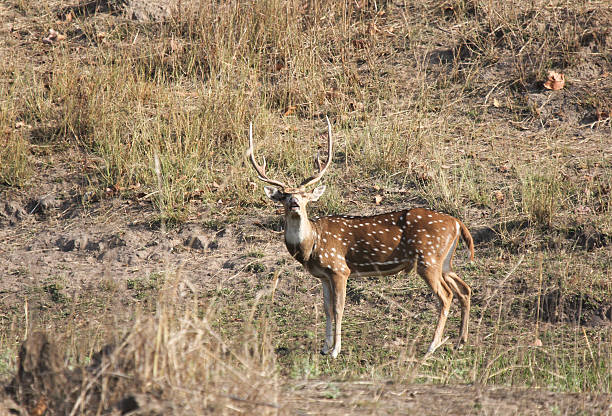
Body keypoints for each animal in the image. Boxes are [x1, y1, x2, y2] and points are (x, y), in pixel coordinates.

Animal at [247, 118, 474, 358]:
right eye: (284, 196)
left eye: (306, 196)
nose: (295, 204)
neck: (311, 246)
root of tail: (457, 223)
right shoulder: (323, 275)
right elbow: (326, 308)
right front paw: (324, 347)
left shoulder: (339, 268)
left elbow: (339, 308)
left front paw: (335, 350)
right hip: (444, 261)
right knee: (464, 289)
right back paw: (460, 341)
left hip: (428, 258)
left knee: (446, 295)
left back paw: (432, 346)